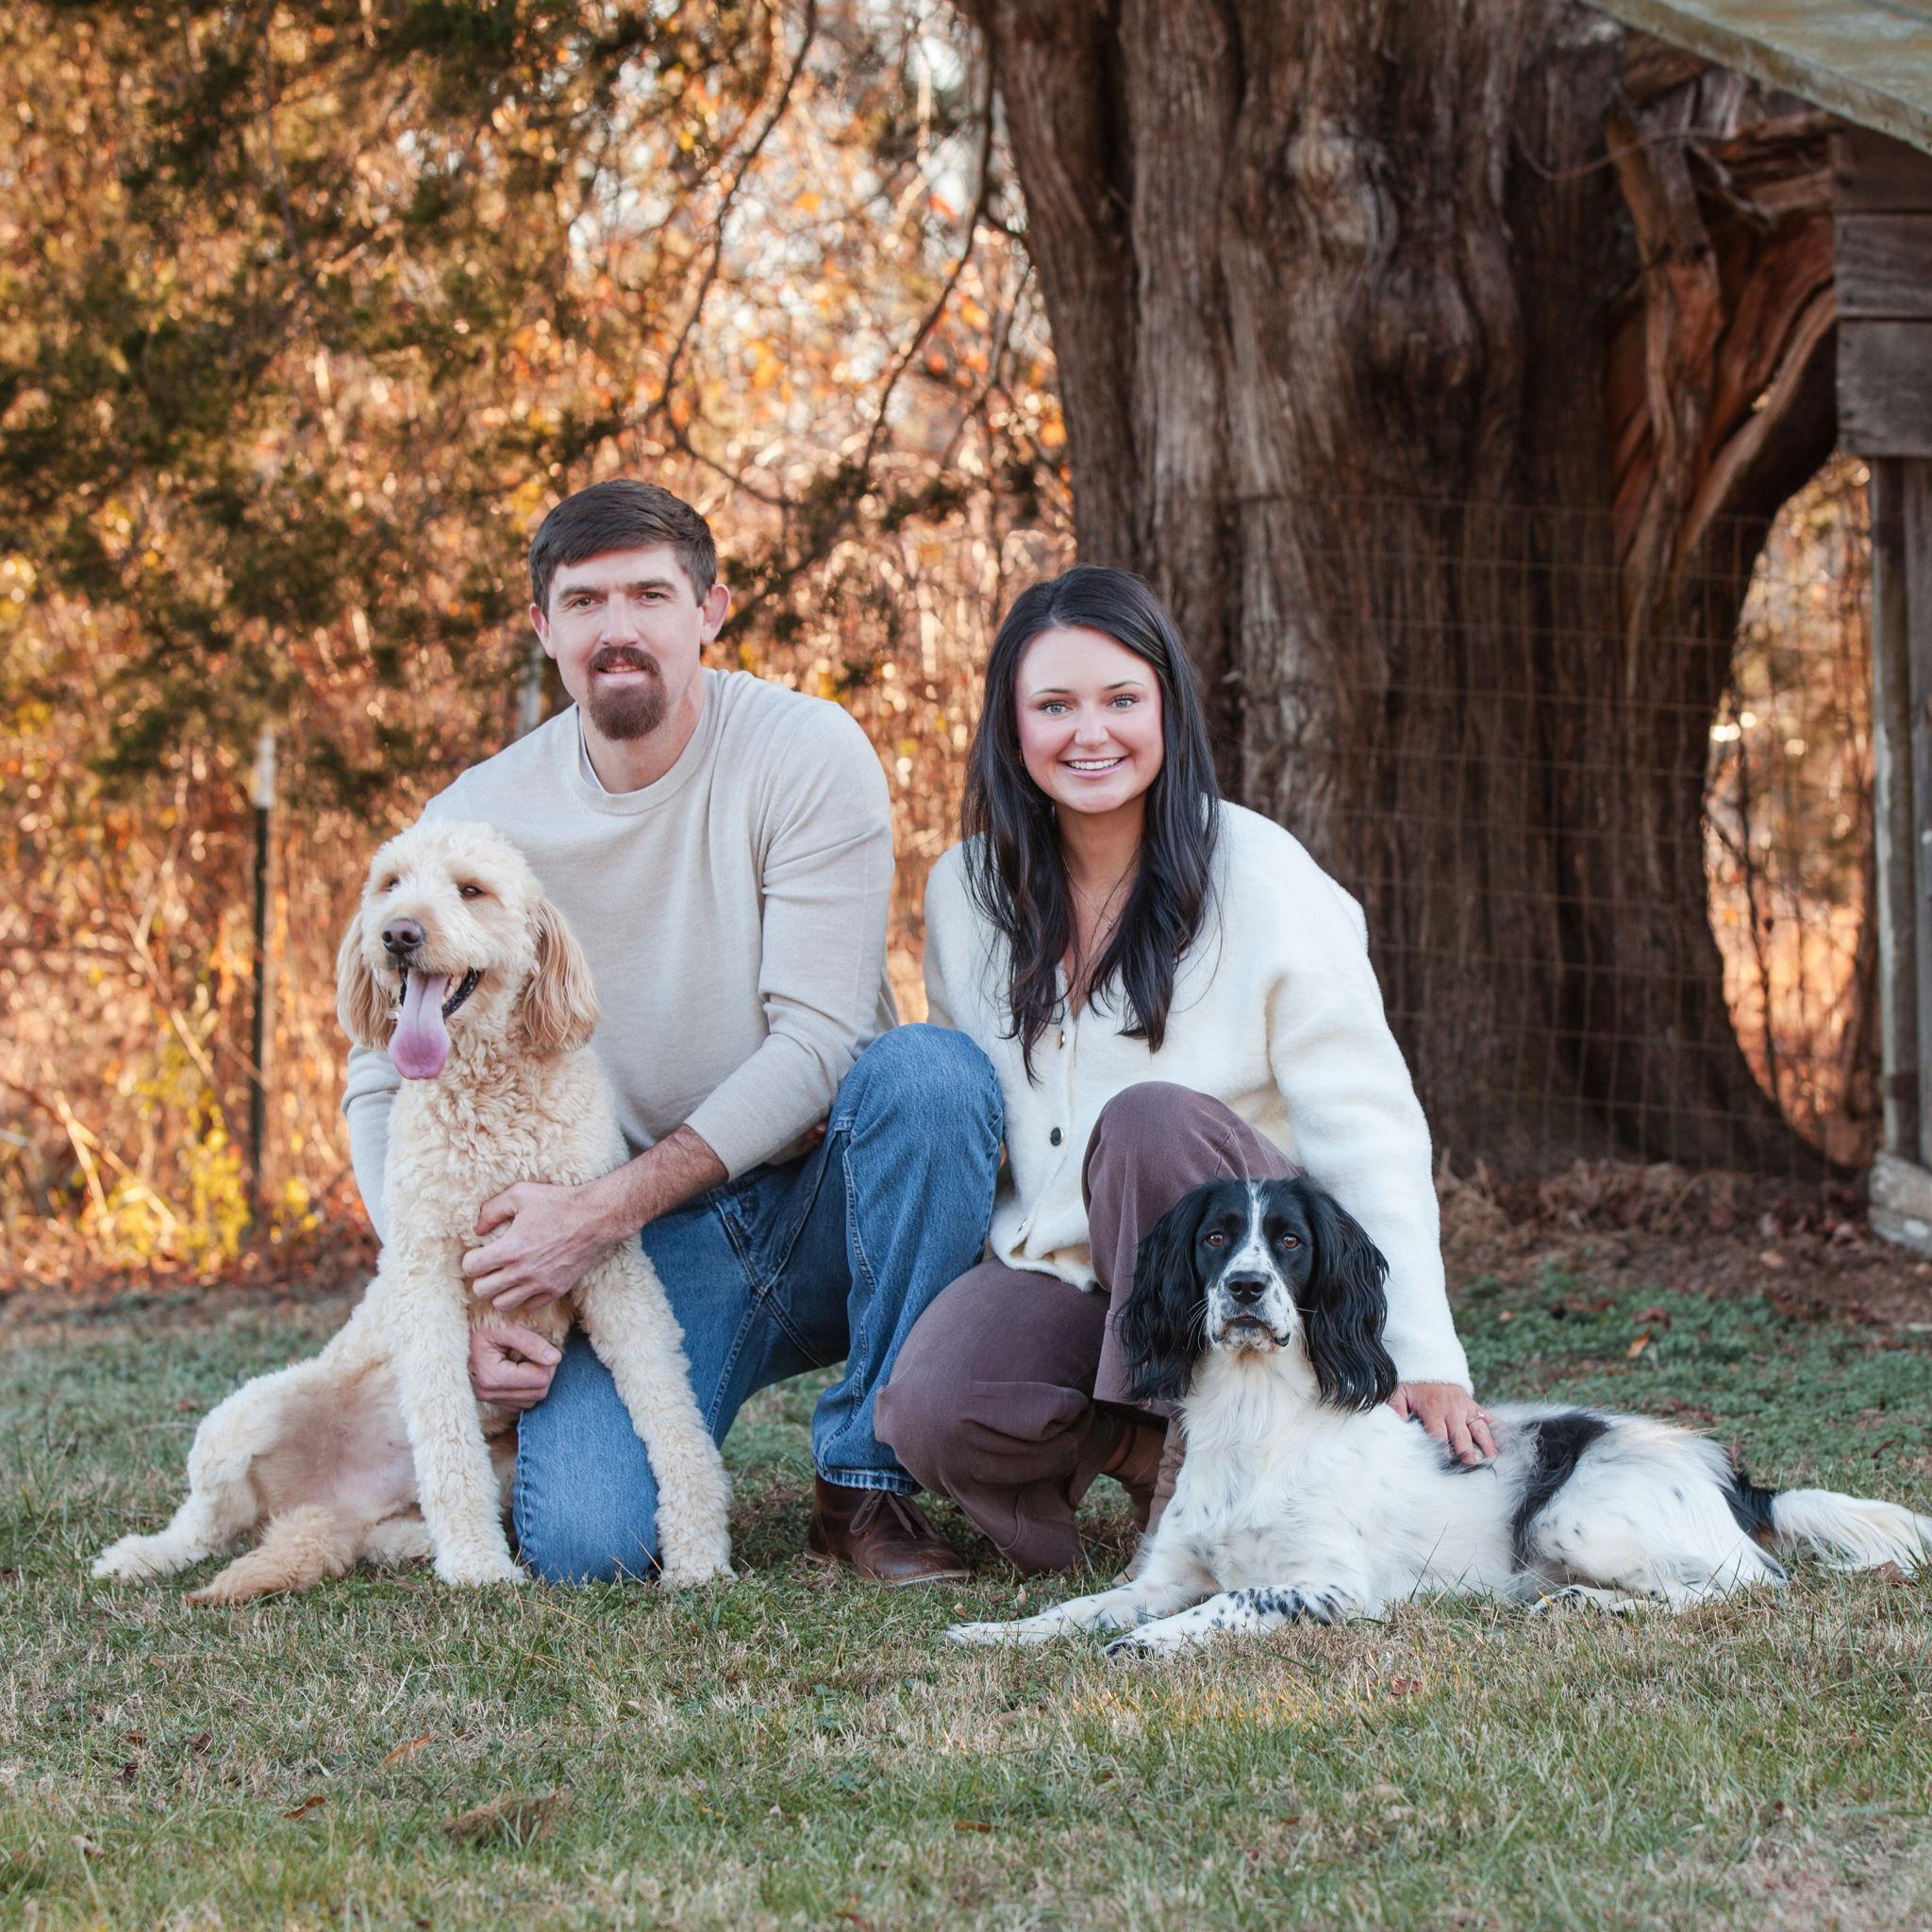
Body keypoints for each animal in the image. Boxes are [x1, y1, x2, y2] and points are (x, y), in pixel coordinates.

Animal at [93, 820, 733, 1600]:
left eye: (471, 889)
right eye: (390, 883)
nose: (398, 934)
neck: (489, 1095)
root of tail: (327, 1508)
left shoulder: (606, 1258)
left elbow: (672, 1414)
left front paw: (700, 1552)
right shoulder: (425, 1273)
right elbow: (447, 1435)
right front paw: (478, 1566)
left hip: (473, 1477)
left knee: (363, 1535)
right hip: (239, 1416)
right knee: (204, 1524)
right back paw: (140, 1556)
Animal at [947, 1175, 1932, 1658]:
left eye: (1290, 1241)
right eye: (1217, 1237)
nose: (1246, 1288)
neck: (1260, 1422)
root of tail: (1731, 1477)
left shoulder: (1330, 1588)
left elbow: (1223, 1604)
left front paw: (1145, 1648)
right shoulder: (1162, 1575)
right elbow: (1076, 1610)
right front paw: (993, 1633)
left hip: (1577, 1518)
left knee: (1747, 1587)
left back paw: (1587, 1603)